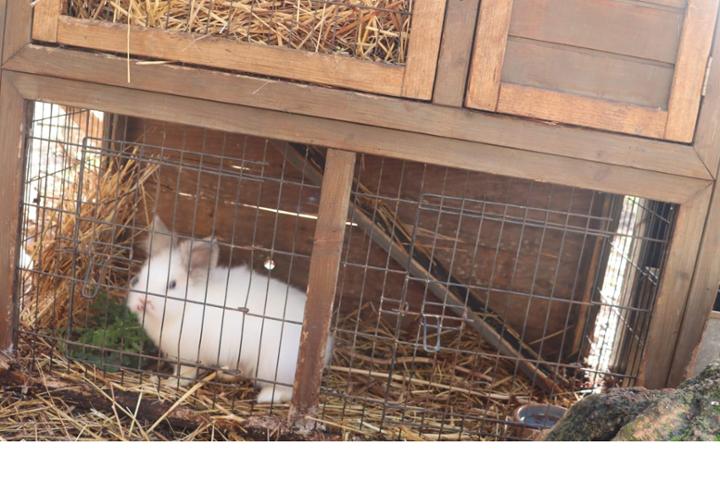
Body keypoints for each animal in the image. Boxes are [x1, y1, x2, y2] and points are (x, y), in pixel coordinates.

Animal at [126, 216, 333, 404]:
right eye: (137, 279)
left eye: (172, 285)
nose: (142, 302)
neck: (186, 306)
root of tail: (326, 346)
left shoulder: (188, 355)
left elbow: (185, 374)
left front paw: (170, 383)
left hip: (273, 366)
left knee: (287, 390)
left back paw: (266, 396)